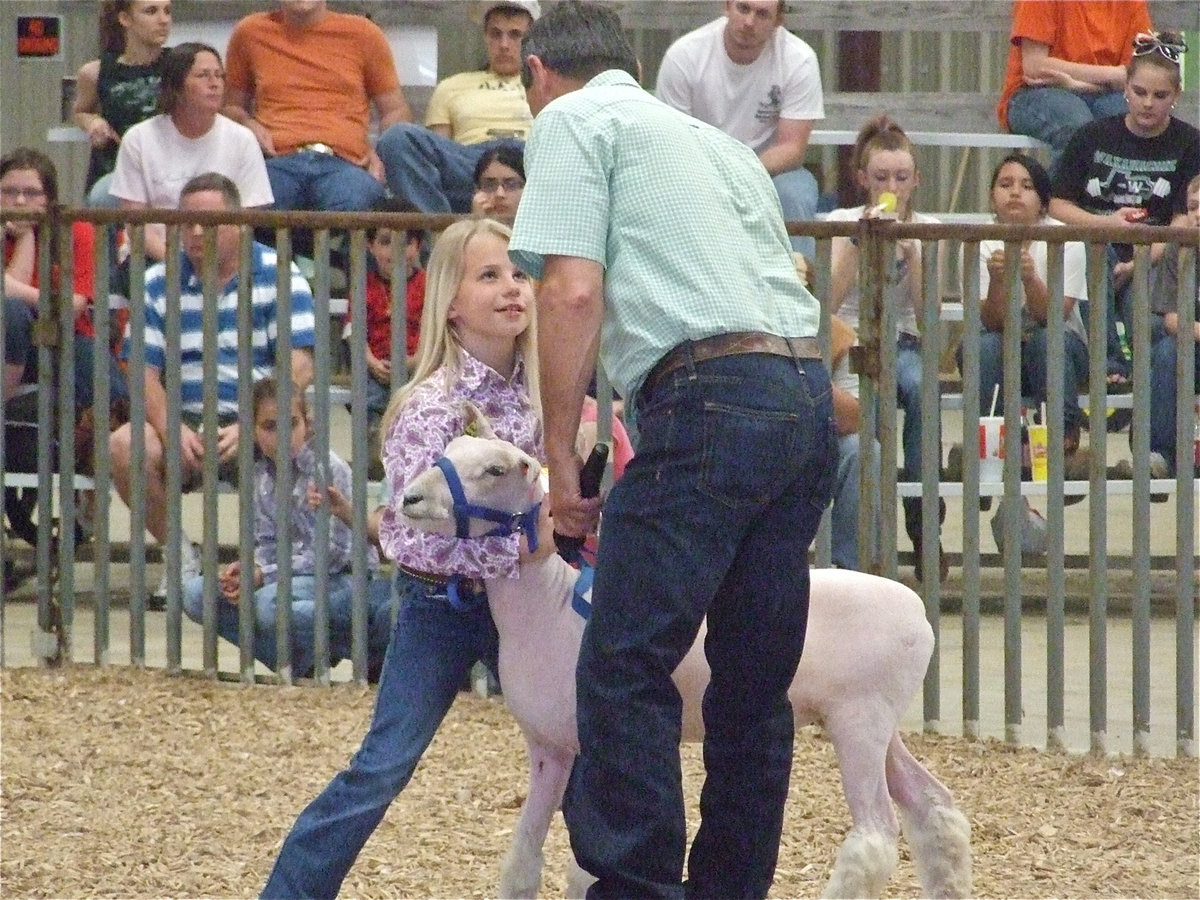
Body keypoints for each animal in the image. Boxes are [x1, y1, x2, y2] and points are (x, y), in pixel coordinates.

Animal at [398, 420, 969, 897]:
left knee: (876, 835)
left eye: (494, 469)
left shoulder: (589, 746)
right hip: (879, 724)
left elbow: (584, 867)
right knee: (936, 809)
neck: (549, 601)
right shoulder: (549, 747)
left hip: (860, 720)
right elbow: (522, 861)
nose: (409, 498)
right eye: (449, 450)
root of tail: (918, 612)